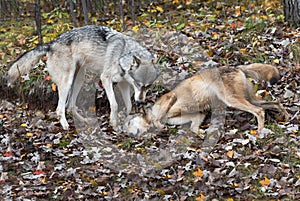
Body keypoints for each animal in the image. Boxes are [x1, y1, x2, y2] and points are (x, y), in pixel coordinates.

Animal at [7, 25, 159, 130]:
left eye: (148, 86)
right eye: (138, 84)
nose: (141, 102)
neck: (122, 55)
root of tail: (51, 43)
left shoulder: (124, 85)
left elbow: (128, 105)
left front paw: (125, 120)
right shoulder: (105, 79)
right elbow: (115, 104)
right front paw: (114, 123)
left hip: (79, 80)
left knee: (70, 106)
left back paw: (84, 121)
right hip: (67, 82)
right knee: (60, 108)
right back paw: (65, 125)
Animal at [125, 63, 290, 134]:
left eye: (128, 124)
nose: (127, 134)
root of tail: (237, 67)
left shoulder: (170, 99)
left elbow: (158, 119)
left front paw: (159, 126)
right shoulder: (200, 114)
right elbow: (193, 128)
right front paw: (201, 133)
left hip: (232, 100)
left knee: (259, 111)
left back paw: (260, 131)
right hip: (249, 99)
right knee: (275, 103)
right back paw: (286, 118)